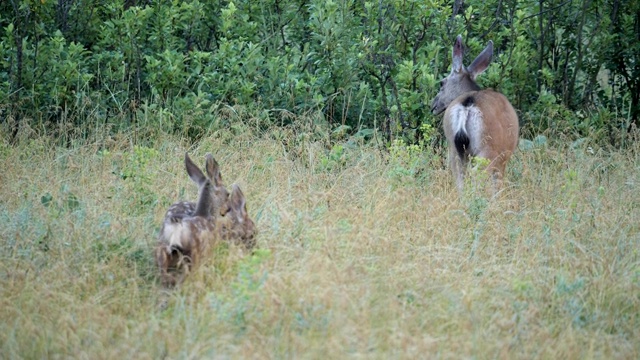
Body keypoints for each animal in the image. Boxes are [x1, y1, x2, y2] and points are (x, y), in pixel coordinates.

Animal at [430, 35, 520, 193]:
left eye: (441, 83)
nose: (433, 105)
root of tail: (467, 105)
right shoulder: (503, 157)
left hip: (454, 149)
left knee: (460, 177)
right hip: (487, 149)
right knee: (478, 175)